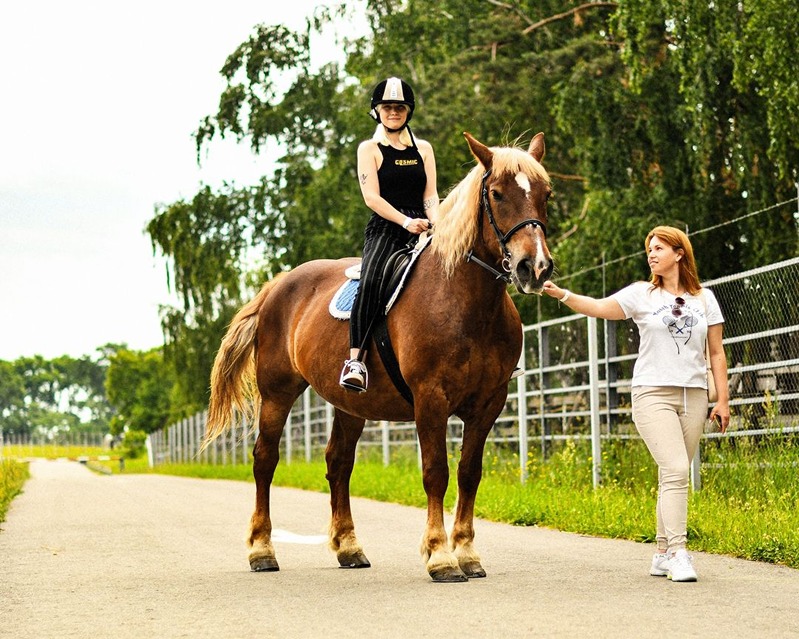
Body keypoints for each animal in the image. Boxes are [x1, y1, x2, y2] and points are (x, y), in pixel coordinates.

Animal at [203, 131, 552, 584]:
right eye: (496, 193)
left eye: (545, 193)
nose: (535, 267)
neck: (464, 300)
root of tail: (278, 285)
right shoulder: (430, 400)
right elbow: (436, 472)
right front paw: (440, 556)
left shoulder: (488, 405)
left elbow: (469, 474)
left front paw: (467, 553)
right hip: (277, 392)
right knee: (265, 460)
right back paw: (262, 550)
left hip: (350, 403)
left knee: (338, 462)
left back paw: (349, 547)